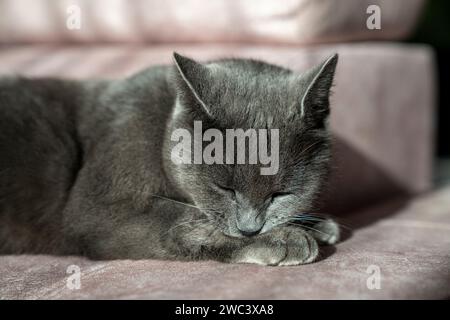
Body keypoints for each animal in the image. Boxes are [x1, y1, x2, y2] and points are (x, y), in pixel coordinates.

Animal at [0, 53, 338, 264]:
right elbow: (188, 219)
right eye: (224, 189)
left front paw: (318, 225)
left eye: (280, 194)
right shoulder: (99, 210)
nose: (250, 229)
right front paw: (288, 238)